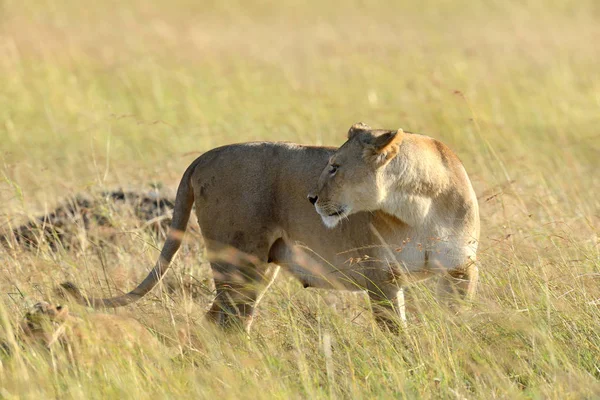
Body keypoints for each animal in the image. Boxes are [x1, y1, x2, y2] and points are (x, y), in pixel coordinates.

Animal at [61, 123, 480, 332]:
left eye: (335, 167)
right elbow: (396, 332)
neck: (417, 205)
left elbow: (456, 319)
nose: (311, 198)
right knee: (222, 320)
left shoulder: (460, 271)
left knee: (227, 320)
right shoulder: (381, 275)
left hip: (257, 269)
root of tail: (205, 156)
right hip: (239, 262)